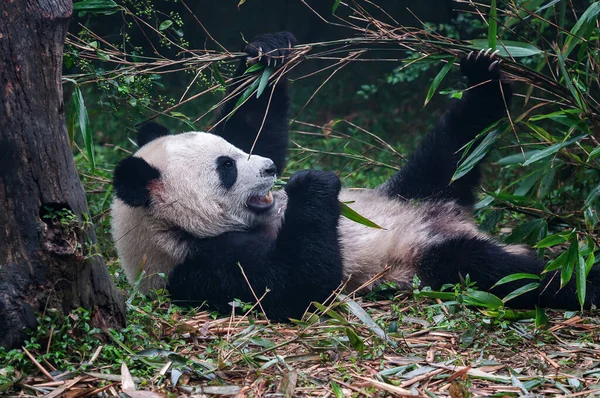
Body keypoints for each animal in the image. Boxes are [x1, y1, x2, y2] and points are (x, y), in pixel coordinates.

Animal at [110, 31, 596, 318]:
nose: (269, 170)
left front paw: (268, 53)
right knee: (502, 272)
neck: (171, 229)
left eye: (233, 154)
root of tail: (450, 218)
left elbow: (254, 120)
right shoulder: (198, 268)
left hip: (417, 188)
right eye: (226, 169)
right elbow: (298, 285)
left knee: (456, 142)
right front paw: (313, 185)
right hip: (420, 259)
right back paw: (581, 279)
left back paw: (484, 80)